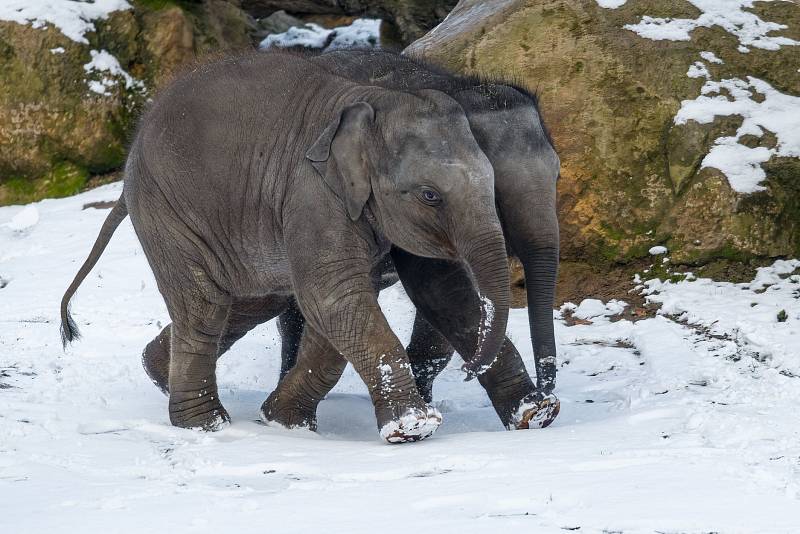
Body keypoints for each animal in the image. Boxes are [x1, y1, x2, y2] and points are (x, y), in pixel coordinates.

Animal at [62, 49, 512, 444]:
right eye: (429, 195)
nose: (470, 370)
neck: (371, 101)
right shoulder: (311, 194)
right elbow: (333, 297)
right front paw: (412, 429)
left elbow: (354, 304)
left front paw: (283, 422)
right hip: (168, 210)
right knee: (205, 306)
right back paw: (206, 427)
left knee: (248, 301)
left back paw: (157, 372)